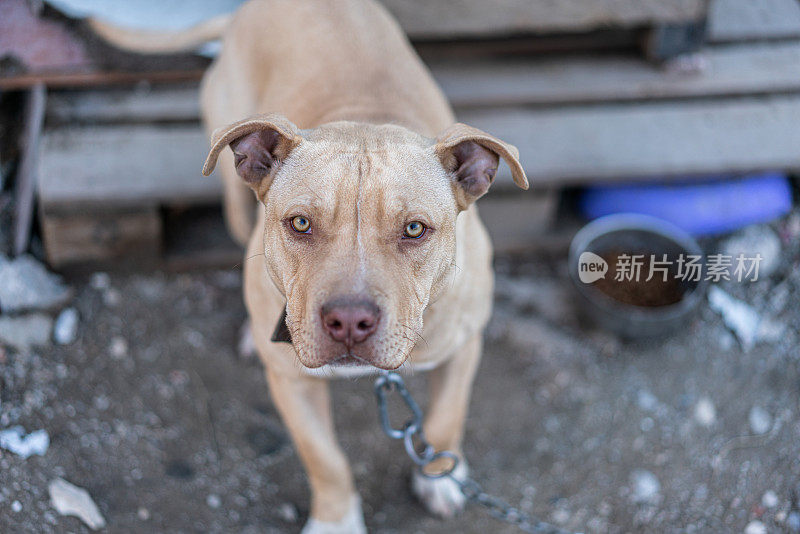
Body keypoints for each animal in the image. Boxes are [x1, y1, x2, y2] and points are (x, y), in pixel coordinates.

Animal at [92, 2, 524, 532]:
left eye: (414, 229)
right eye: (300, 223)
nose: (350, 321)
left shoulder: (464, 345)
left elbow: (446, 418)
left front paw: (439, 478)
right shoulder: (291, 383)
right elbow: (325, 459)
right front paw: (336, 521)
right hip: (235, 202)